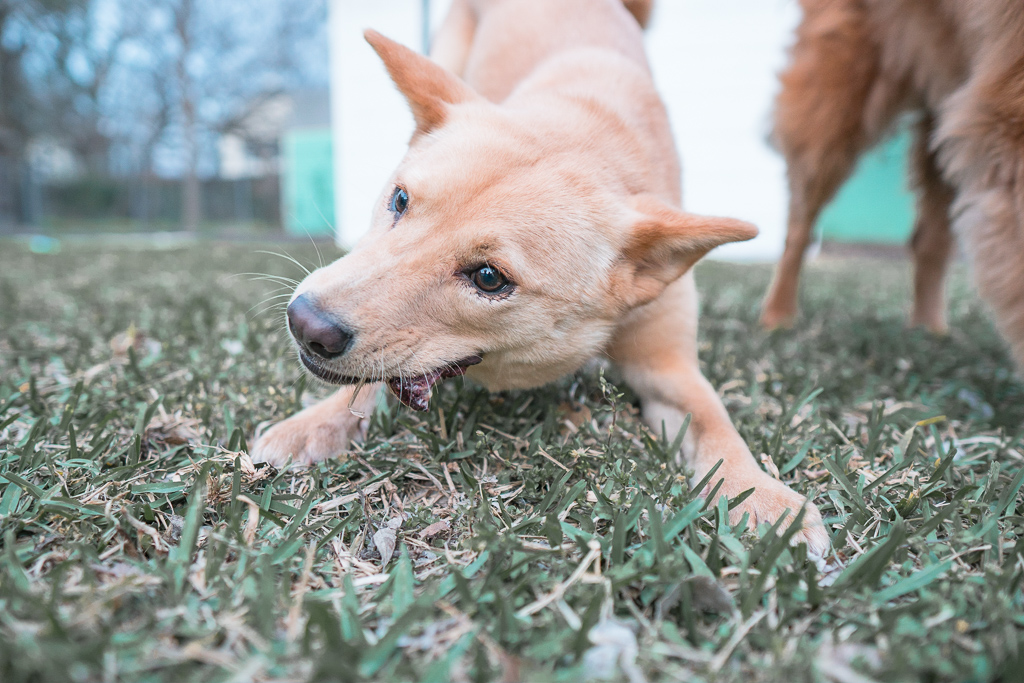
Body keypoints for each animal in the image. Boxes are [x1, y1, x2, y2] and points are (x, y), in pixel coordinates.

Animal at [256, 0, 831, 557]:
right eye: (399, 200)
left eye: (489, 278)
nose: (306, 324)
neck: (590, 126)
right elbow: (367, 386)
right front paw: (314, 424)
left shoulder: (669, 367)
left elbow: (716, 423)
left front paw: (762, 496)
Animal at [765, 0, 1024, 370]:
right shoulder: (1007, 113)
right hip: (841, 93)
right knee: (799, 226)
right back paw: (778, 316)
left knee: (927, 239)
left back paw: (929, 331)